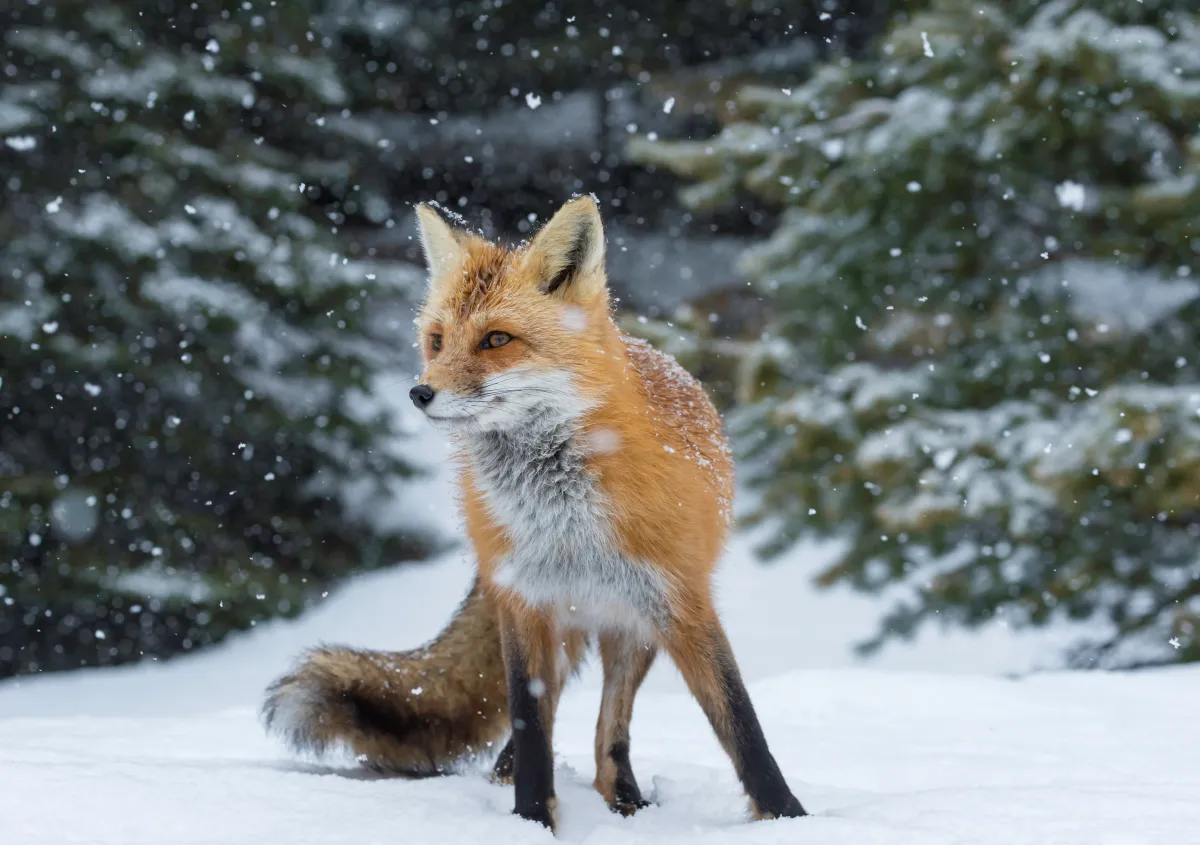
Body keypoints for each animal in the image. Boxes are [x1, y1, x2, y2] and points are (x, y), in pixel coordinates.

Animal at [262, 196, 806, 830]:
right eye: (437, 340)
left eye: (497, 339)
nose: (419, 394)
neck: (563, 521)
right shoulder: (523, 601)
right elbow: (529, 721)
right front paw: (531, 819)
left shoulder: (680, 601)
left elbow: (741, 722)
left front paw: (789, 816)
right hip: (557, 623)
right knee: (551, 721)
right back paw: (513, 779)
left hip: (631, 628)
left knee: (610, 730)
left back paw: (625, 800)